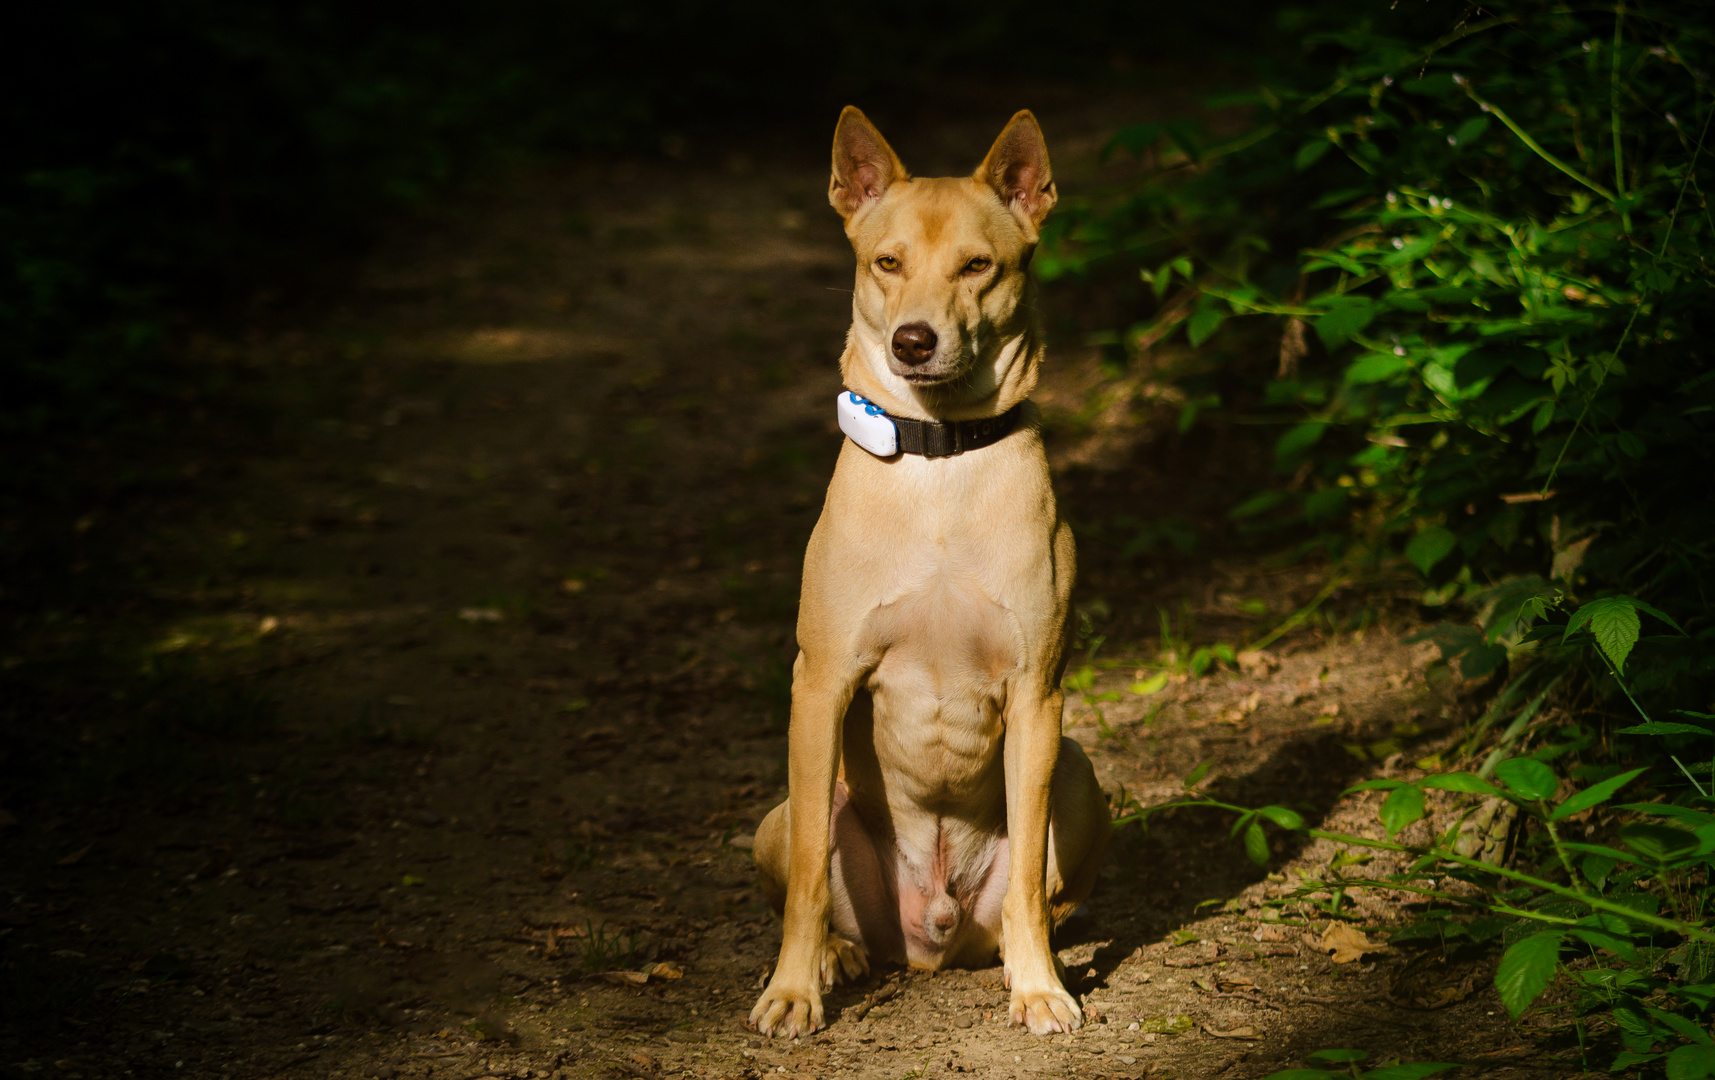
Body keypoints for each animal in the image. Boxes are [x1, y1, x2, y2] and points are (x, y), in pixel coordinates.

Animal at [751, 108, 1111, 1042]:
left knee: (1042, 892)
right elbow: (809, 882)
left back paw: (1028, 957)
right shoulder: (820, 683)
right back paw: (839, 958)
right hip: (780, 812)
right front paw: (793, 991)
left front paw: (1040, 987)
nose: (914, 339)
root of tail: (930, 937)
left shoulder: (1037, 693)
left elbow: (1028, 883)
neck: (941, 463)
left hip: (1079, 773)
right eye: (887, 262)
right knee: (813, 875)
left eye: (977, 266)